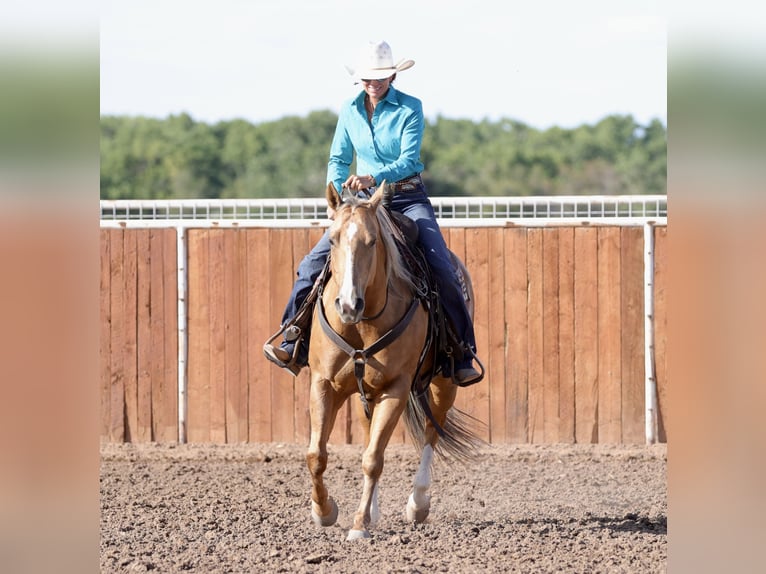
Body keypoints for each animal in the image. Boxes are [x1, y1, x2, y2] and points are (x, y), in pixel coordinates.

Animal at [305, 181, 483, 541]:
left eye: (372, 241)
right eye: (332, 239)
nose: (348, 304)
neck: (361, 323)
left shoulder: (395, 389)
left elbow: (373, 458)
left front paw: (359, 526)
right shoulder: (323, 383)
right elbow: (317, 454)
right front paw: (325, 512)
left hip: (444, 382)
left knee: (431, 431)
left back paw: (418, 504)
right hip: (365, 394)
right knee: (369, 433)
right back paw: (374, 510)